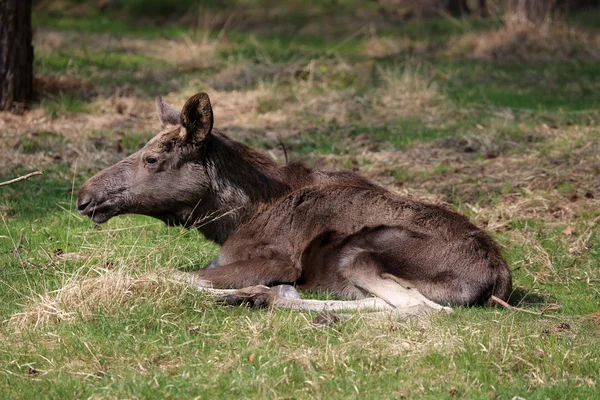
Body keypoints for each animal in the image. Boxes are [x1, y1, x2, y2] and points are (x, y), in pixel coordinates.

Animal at [77, 91, 512, 318]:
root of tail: (500, 277)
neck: (233, 218)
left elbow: (174, 275)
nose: (83, 197)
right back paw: (265, 296)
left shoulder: (278, 260)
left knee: (424, 310)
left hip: (360, 250)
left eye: (151, 159)